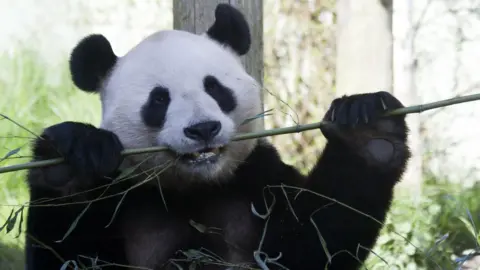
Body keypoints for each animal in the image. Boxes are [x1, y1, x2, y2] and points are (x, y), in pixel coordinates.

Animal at [24, 2, 410, 270]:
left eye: (214, 87)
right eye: (159, 100)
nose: (203, 129)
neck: (197, 188)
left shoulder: (257, 182)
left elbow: (315, 244)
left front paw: (368, 129)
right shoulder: (124, 195)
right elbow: (69, 254)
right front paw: (71, 161)